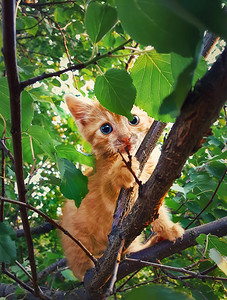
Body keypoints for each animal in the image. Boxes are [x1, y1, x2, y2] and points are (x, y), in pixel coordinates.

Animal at [60, 95, 184, 280]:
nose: (125, 138)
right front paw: (122, 170)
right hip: (77, 241)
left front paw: (166, 230)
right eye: (106, 128)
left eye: (134, 119)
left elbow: (154, 209)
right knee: (82, 267)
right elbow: (111, 189)